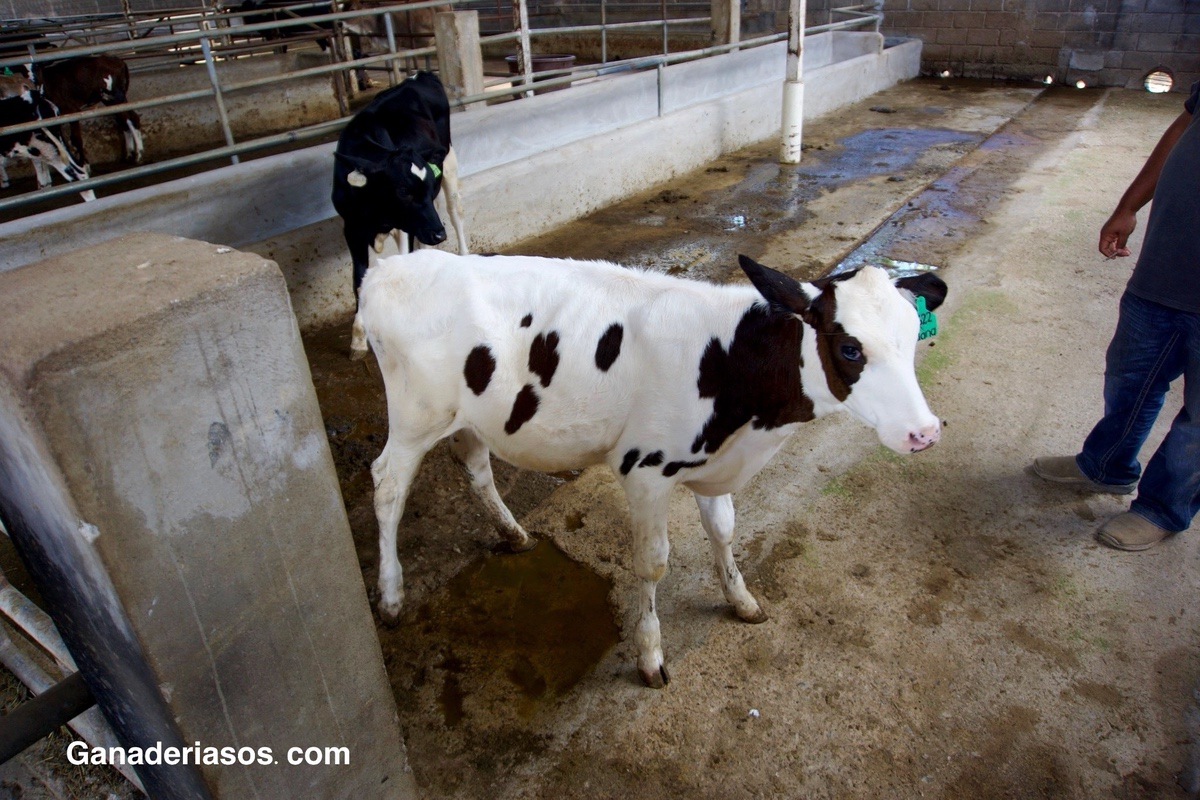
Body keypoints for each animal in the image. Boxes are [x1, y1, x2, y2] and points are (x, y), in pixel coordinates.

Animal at [355, 250, 945, 690]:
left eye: (914, 335)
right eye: (849, 348)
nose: (924, 432)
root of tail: (389, 267)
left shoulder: (714, 462)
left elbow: (723, 530)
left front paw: (742, 601)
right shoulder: (645, 471)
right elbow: (652, 564)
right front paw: (650, 654)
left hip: (471, 414)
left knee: (476, 468)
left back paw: (514, 533)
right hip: (415, 415)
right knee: (387, 487)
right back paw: (391, 598)